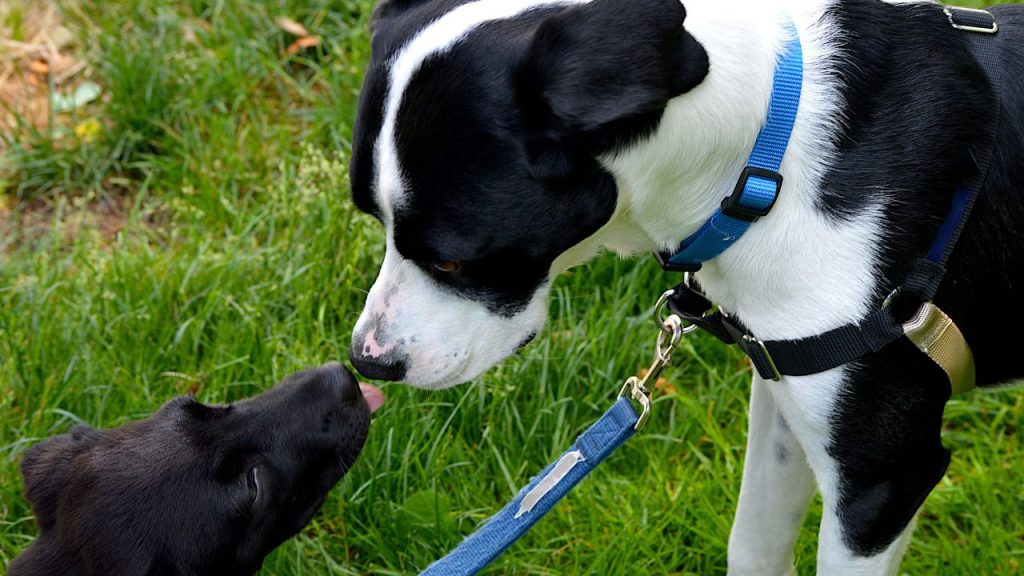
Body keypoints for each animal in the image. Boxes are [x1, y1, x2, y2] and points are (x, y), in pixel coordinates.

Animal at [346, 1, 1024, 569]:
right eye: (373, 221)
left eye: (451, 261)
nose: (367, 362)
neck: (767, 159)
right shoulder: (784, 396)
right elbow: (752, 545)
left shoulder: (882, 478)